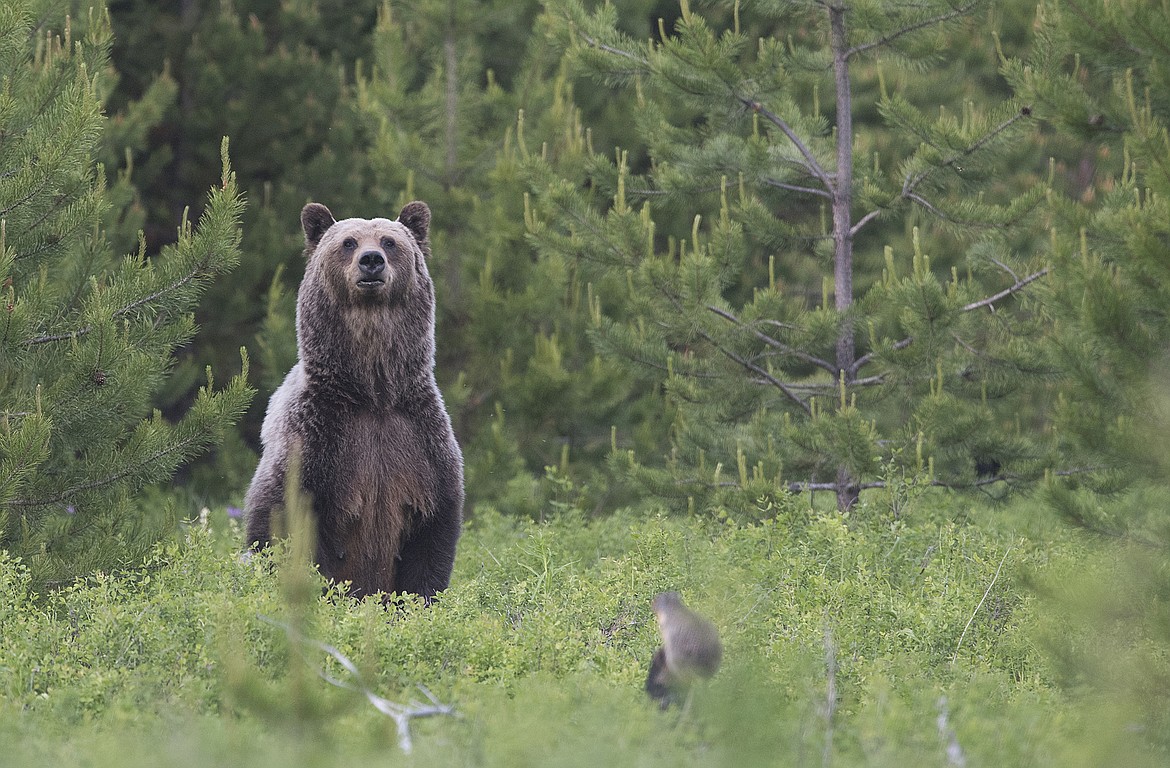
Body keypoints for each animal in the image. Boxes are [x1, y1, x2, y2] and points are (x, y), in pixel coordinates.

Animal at [244, 201, 463, 604]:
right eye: (348, 242)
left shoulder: (421, 441)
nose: (371, 260)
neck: (373, 393)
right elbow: (284, 524)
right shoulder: (316, 440)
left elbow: (430, 542)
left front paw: (419, 601)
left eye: (390, 241)